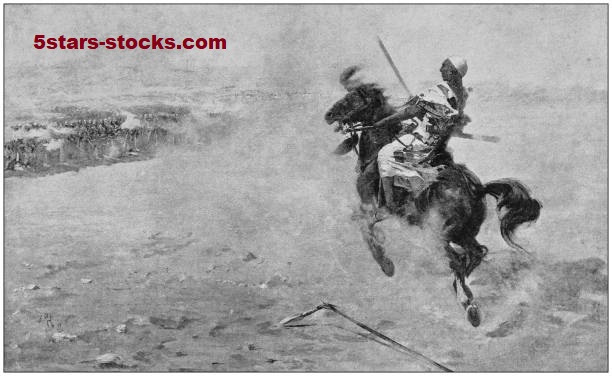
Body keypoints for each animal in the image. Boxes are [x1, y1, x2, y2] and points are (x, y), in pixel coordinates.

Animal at [326, 83, 540, 326]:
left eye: (352, 99)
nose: (329, 115)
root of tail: (477, 189)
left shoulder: (371, 207)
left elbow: (365, 227)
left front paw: (385, 264)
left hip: (442, 234)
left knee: (459, 259)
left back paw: (468, 304)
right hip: (463, 234)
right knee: (475, 254)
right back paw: (468, 302)